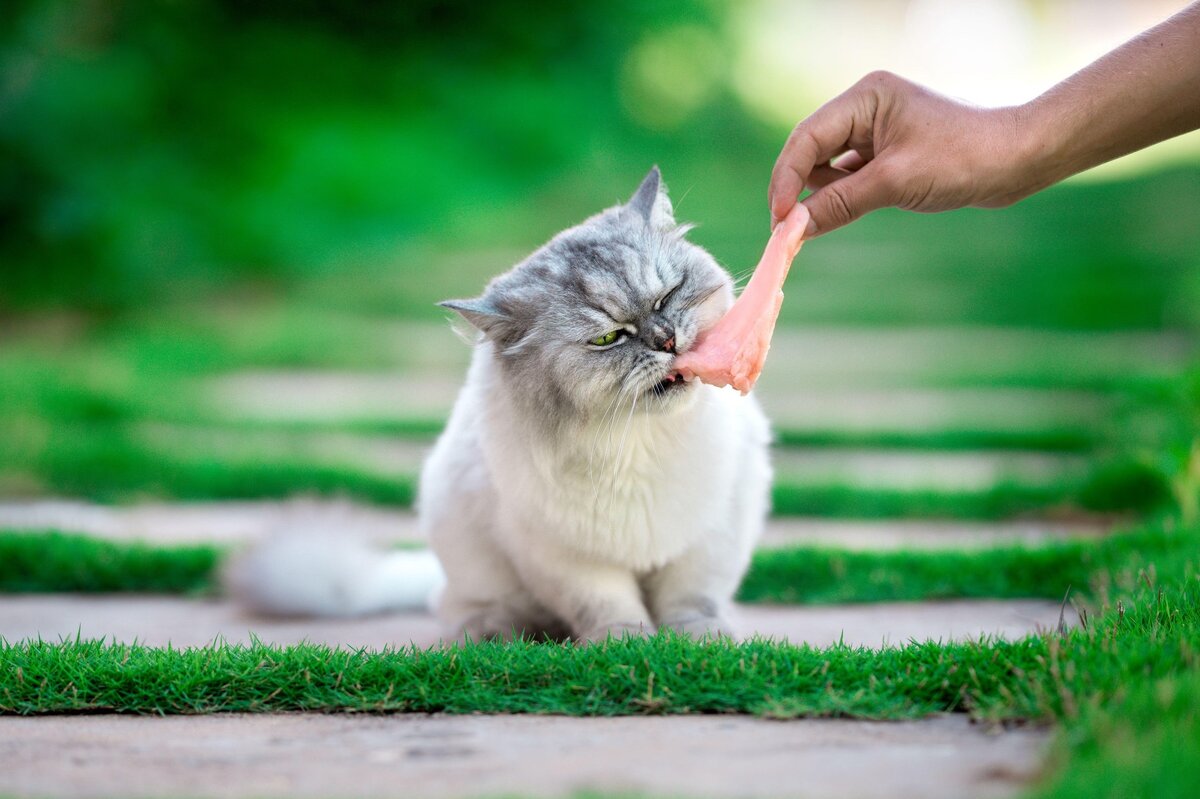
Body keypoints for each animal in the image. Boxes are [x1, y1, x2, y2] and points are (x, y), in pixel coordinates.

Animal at [225, 167, 772, 643]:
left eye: (667, 296)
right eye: (608, 338)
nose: (667, 342)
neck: (639, 441)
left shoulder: (711, 536)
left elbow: (691, 601)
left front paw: (701, 642)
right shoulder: (565, 557)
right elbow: (610, 607)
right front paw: (626, 645)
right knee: (464, 609)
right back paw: (498, 636)